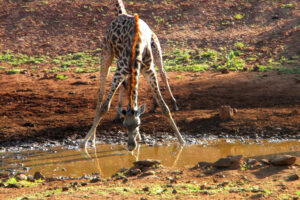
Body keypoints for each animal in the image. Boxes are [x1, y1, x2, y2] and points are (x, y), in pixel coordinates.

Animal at [81, 0, 185, 150]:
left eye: (138, 124)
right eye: (124, 125)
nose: (131, 146)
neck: (137, 48)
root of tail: (121, 14)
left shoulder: (149, 71)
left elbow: (164, 107)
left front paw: (182, 141)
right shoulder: (119, 72)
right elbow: (104, 107)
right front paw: (83, 143)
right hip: (106, 52)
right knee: (101, 94)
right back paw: (93, 140)